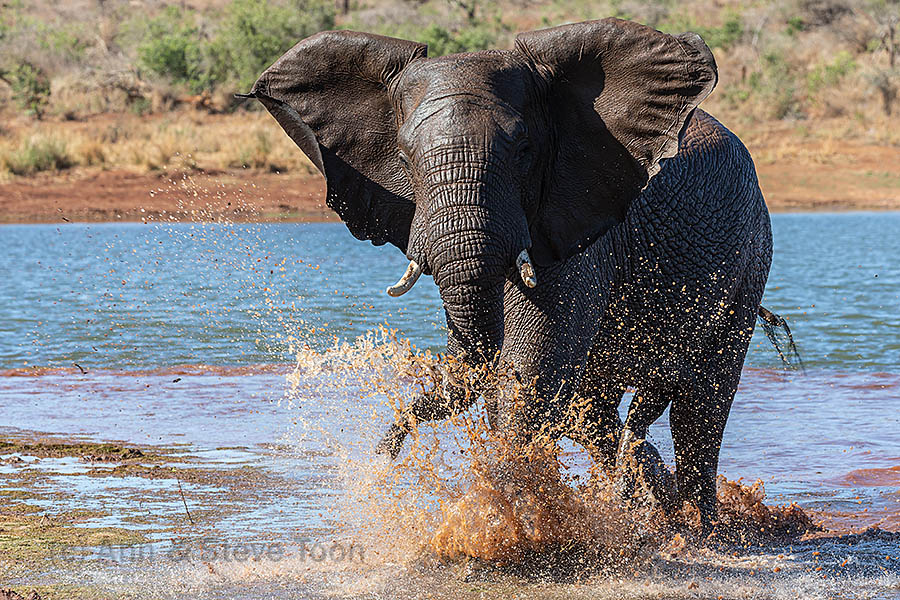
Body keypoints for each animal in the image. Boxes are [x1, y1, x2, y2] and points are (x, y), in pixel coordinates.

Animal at [243, 18, 782, 534]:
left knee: (702, 404)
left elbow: (532, 371)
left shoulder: (578, 222)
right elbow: (513, 377)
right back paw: (644, 503)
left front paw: (505, 520)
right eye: (405, 155)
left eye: (523, 149)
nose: (382, 458)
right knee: (603, 409)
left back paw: (704, 531)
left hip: (751, 255)